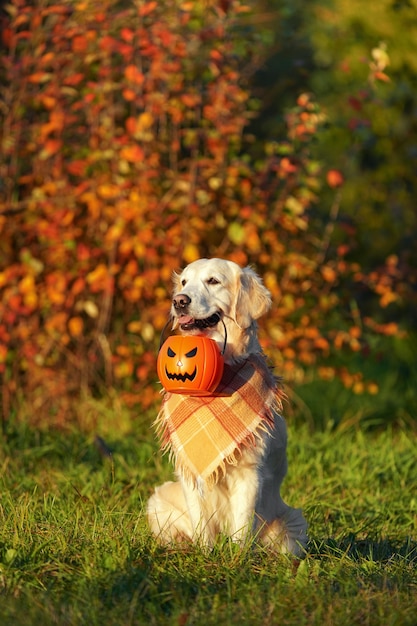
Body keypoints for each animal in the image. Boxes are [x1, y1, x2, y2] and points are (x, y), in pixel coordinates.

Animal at [146, 256, 306, 552]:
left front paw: (236, 557)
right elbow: (201, 524)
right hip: (159, 499)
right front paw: (205, 553)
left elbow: (241, 528)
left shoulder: (249, 472)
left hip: (292, 522)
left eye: (213, 281)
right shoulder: (191, 472)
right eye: (184, 282)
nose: (179, 301)